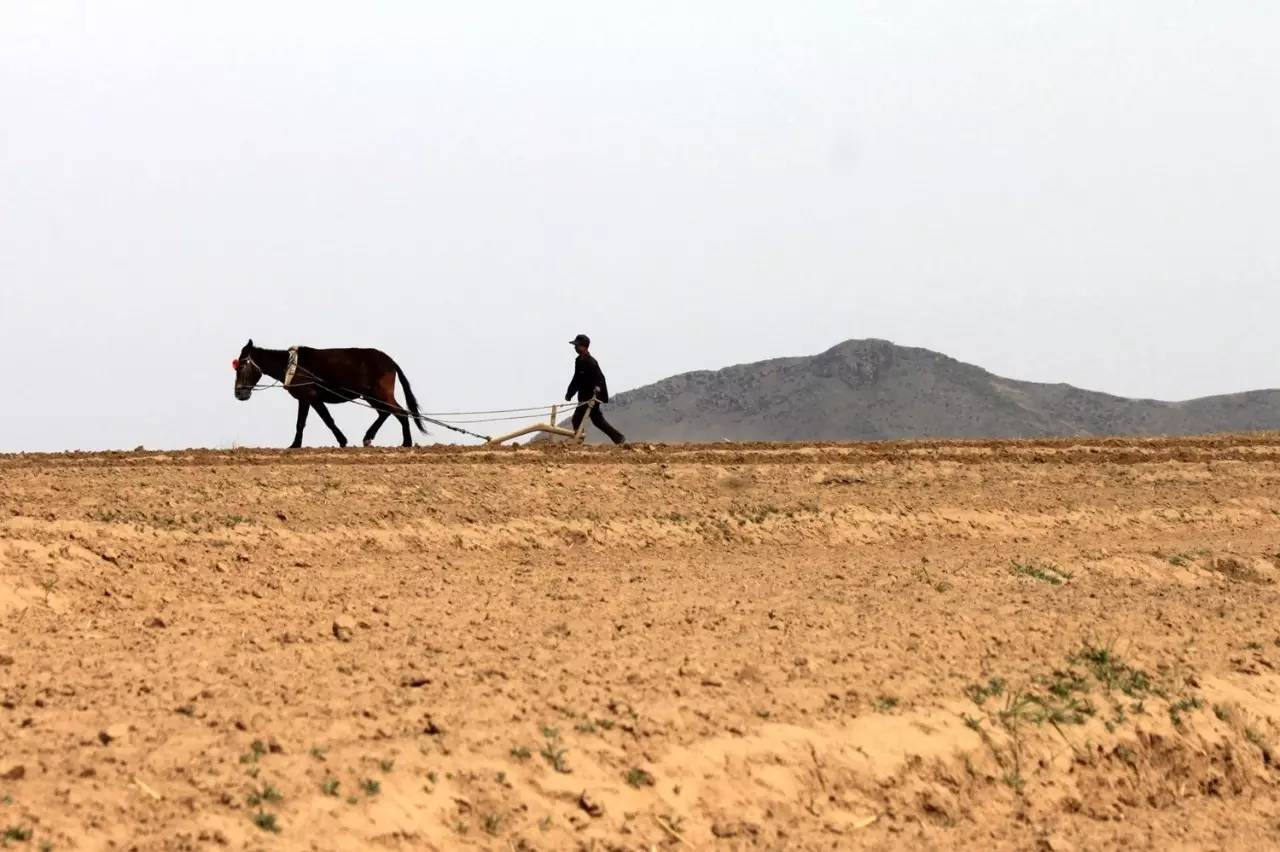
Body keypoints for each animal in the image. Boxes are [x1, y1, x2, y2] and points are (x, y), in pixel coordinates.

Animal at [232, 337, 427, 447]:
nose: (239, 393)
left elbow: (309, 422)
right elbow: (323, 420)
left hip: (380, 393)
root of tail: (390, 361)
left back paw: (406, 443)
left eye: (241, 366)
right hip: (371, 395)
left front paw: (295, 445)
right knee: (386, 412)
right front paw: (341, 441)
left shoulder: (308, 397)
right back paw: (372, 438)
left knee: (401, 412)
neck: (292, 366)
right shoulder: (312, 399)